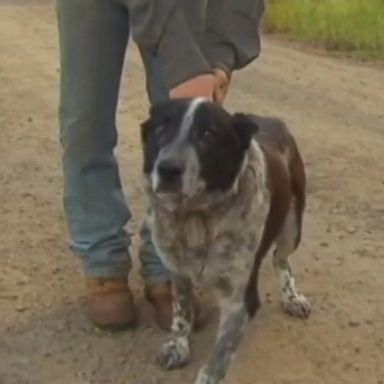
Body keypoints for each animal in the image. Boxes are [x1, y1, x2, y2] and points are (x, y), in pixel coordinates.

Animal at [141, 98, 312, 384]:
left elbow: (221, 352)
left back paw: (292, 297)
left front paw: (208, 376)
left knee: (281, 258)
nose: (167, 169)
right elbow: (181, 312)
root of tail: (271, 120)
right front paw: (178, 346)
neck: (196, 218)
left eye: (209, 134)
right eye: (161, 128)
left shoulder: (239, 300)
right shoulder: (178, 271)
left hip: (292, 227)